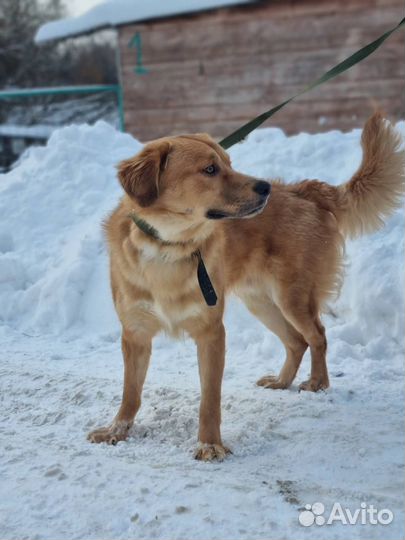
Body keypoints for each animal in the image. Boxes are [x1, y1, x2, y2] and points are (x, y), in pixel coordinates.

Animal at [88, 113, 404, 460]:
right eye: (210, 169)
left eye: (229, 163)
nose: (265, 187)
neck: (168, 248)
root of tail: (303, 190)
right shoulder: (135, 333)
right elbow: (130, 392)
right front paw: (117, 430)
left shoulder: (211, 333)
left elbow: (210, 399)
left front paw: (210, 444)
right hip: (261, 302)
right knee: (297, 341)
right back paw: (282, 382)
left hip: (292, 296)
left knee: (317, 336)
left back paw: (317, 383)